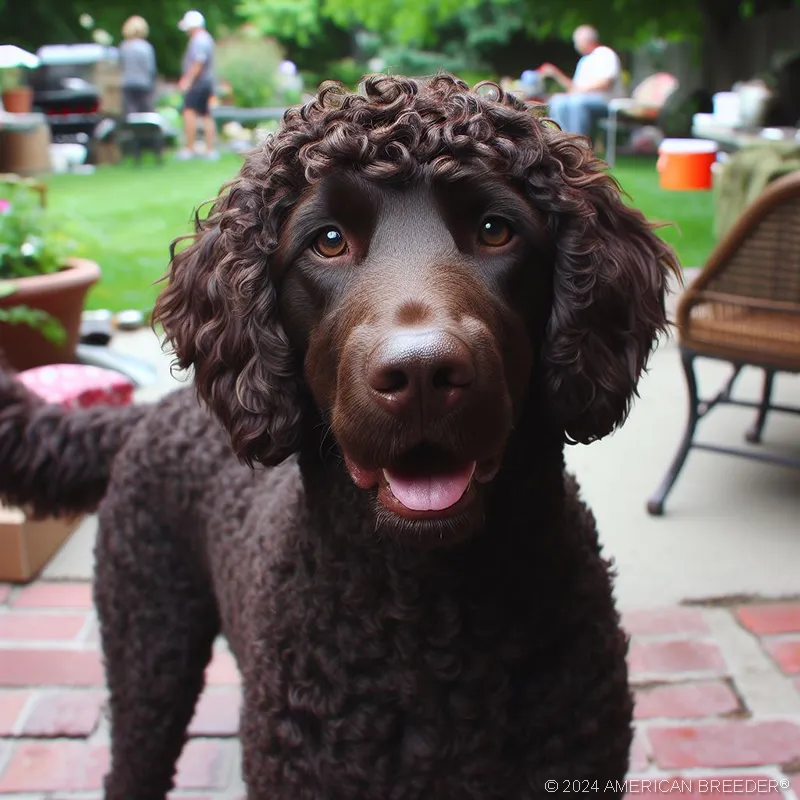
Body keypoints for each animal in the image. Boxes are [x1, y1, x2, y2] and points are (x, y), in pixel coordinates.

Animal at [0, 72, 680, 796]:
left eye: (496, 230)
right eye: (328, 241)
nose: (421, 373)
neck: (431, 633)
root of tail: (155, 411)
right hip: (149, 656)